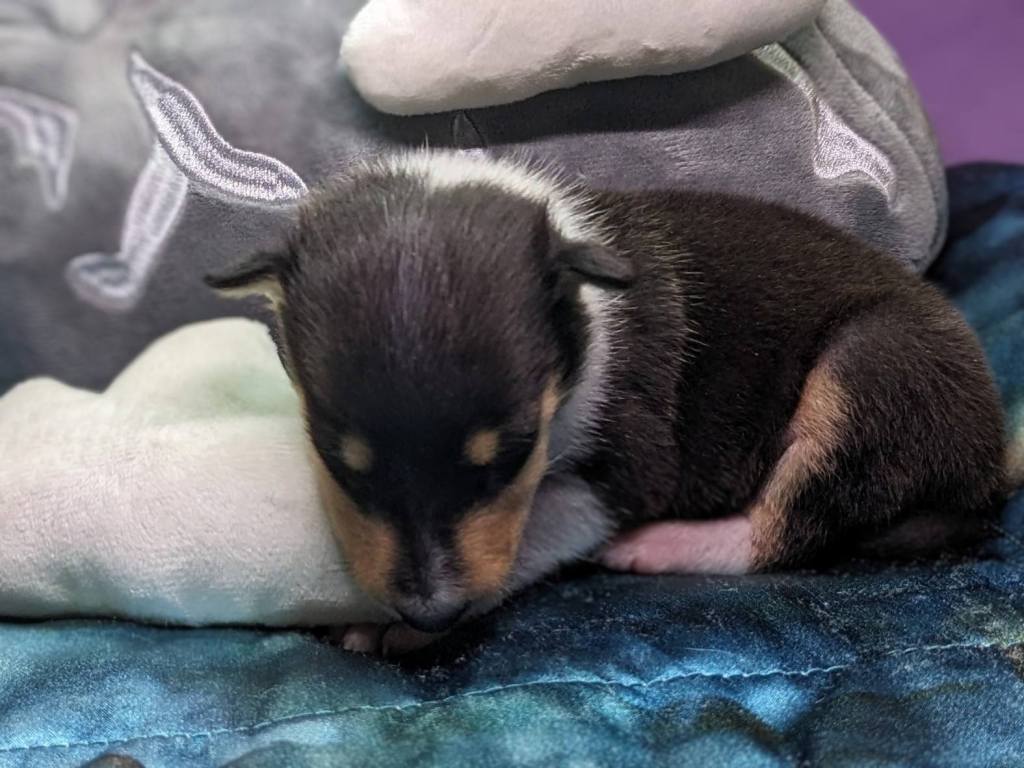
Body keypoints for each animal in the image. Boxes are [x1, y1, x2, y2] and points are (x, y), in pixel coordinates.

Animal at [207, 150, 1009, 653]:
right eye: (340, 462)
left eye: (512, 456)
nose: (432, 611)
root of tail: (990, 467)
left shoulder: (627, 469)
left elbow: (538, 527)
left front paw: (390, 626)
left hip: (872, 368)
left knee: (789, 526)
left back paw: (666, 545)